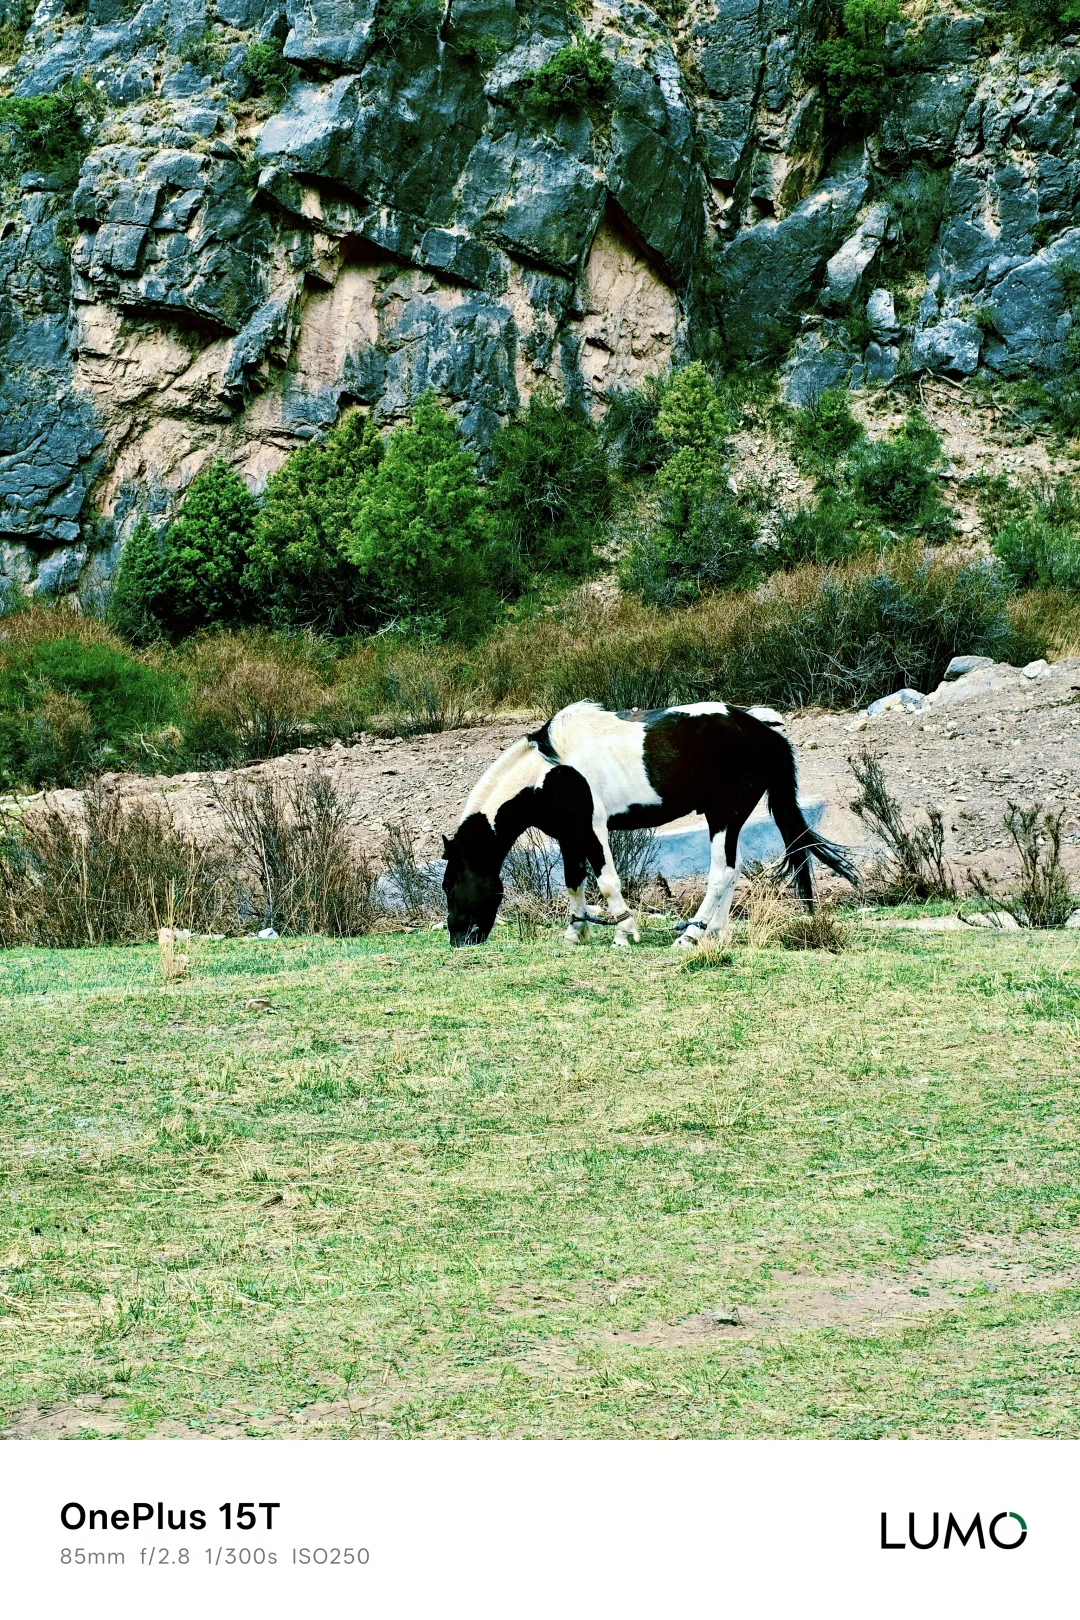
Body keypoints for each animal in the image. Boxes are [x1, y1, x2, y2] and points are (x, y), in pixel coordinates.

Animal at [441, 700, 858, 948]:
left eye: (450, 885)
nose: (459, 937)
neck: (551, 772)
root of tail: (763, 732)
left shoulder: (592, 830)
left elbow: (607, 882)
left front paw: (624, 933)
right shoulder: (569, 835)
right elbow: (574, 881)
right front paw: (576, 931)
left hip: (724, 816)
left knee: (721, 872)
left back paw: (690, 935)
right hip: (729, 820)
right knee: (733, 870)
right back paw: (713, 933)